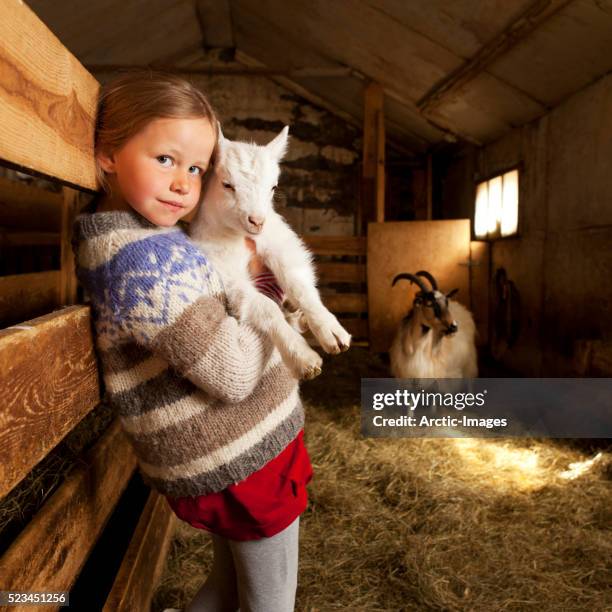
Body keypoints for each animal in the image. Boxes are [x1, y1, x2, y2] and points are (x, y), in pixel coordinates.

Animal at [189, 126, 352, 380]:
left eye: (273, 187)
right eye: (227, 185)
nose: (257, 221)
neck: (237, 235)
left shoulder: (280, 243)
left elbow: (298, 284)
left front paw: (331, 330)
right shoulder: (227, 273)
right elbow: (265, 307)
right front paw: (303, 358)